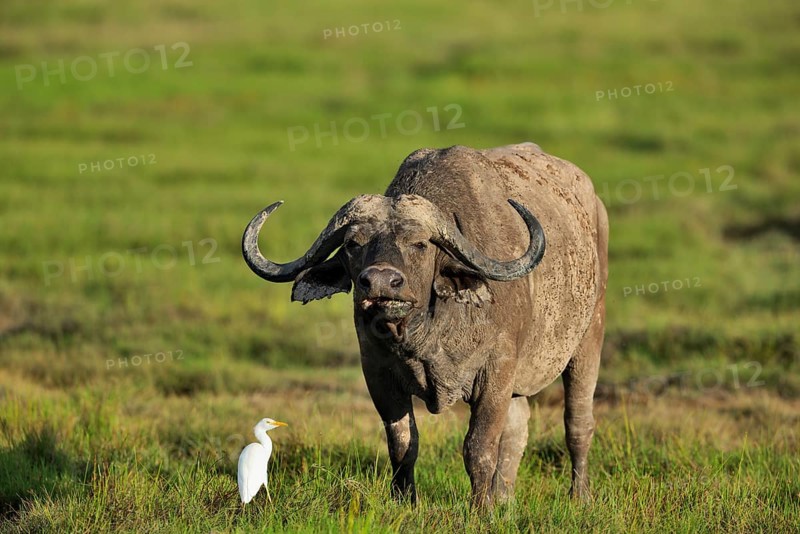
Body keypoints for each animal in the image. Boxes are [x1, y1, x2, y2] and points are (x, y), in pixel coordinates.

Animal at [243, 143, 608, 508]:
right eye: (352, 244)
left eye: (419, 244)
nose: (380, 283)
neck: (428, 335)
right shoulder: (378, 373)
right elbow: (403, 443)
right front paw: (406, 500)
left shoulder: (497, 372)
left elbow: (479, 447)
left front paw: (481, 508)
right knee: (517, 431)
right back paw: (504, 498)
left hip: (588, 341)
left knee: (577, 423)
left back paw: (580, 496)